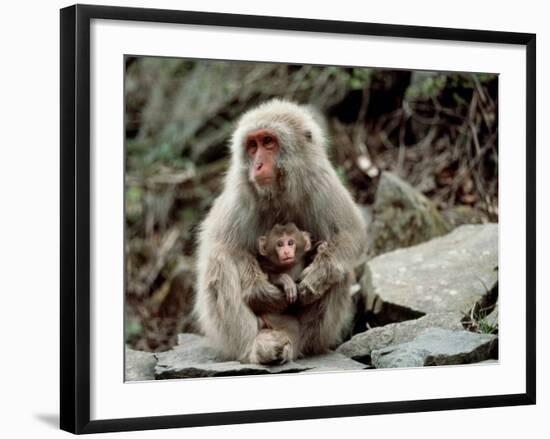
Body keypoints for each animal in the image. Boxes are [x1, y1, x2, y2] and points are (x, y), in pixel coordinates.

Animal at [196, 99, 368, 364]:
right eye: (252, 146)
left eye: (268, 142)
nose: (257, 165)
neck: (279, 193)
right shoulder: (240, 195)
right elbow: (224, 246)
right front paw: (261, 291)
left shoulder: (322, 183)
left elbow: (349, 234)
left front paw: (316, 277)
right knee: (220, 260)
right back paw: (256, 348)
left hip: (317, 332)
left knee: (341, 269)